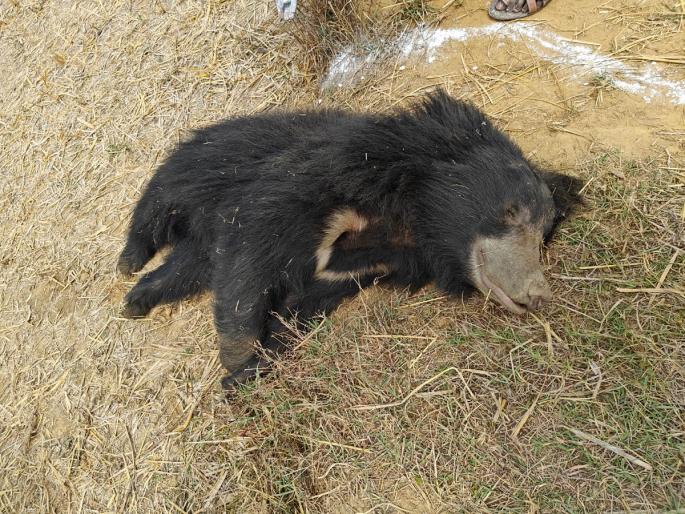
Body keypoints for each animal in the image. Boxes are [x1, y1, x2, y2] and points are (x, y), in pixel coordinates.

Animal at [118, 88, 582, 389]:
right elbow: (253, 248)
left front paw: (247, 373)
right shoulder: (316, 181)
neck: (412, 222)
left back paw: (137, 301)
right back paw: (129, 260)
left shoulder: (369, 264)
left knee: (187, 268)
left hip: (201, 238)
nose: (537, 293)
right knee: (158, 203)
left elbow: (302, 304)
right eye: (510, 213)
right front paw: (237, 357)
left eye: (542, 235)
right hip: (207, 162)